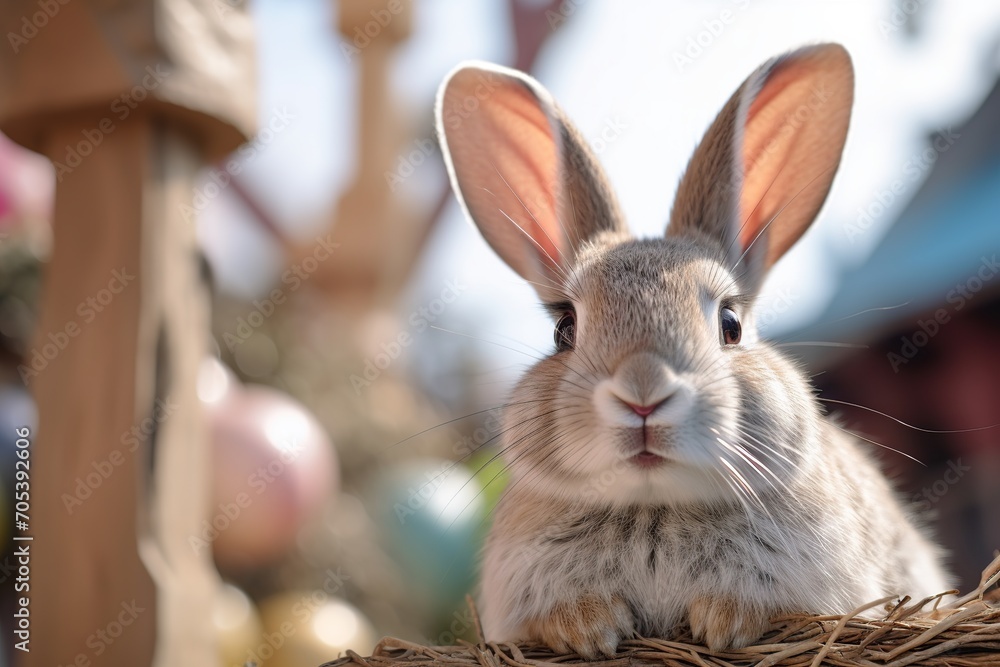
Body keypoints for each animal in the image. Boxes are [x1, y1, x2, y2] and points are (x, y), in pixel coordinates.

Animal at [434, 43, 952, 658]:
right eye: (564, 328)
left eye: (730, 324)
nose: (643, 394)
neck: (654, 505)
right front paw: (589, 628)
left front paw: (724, 620)